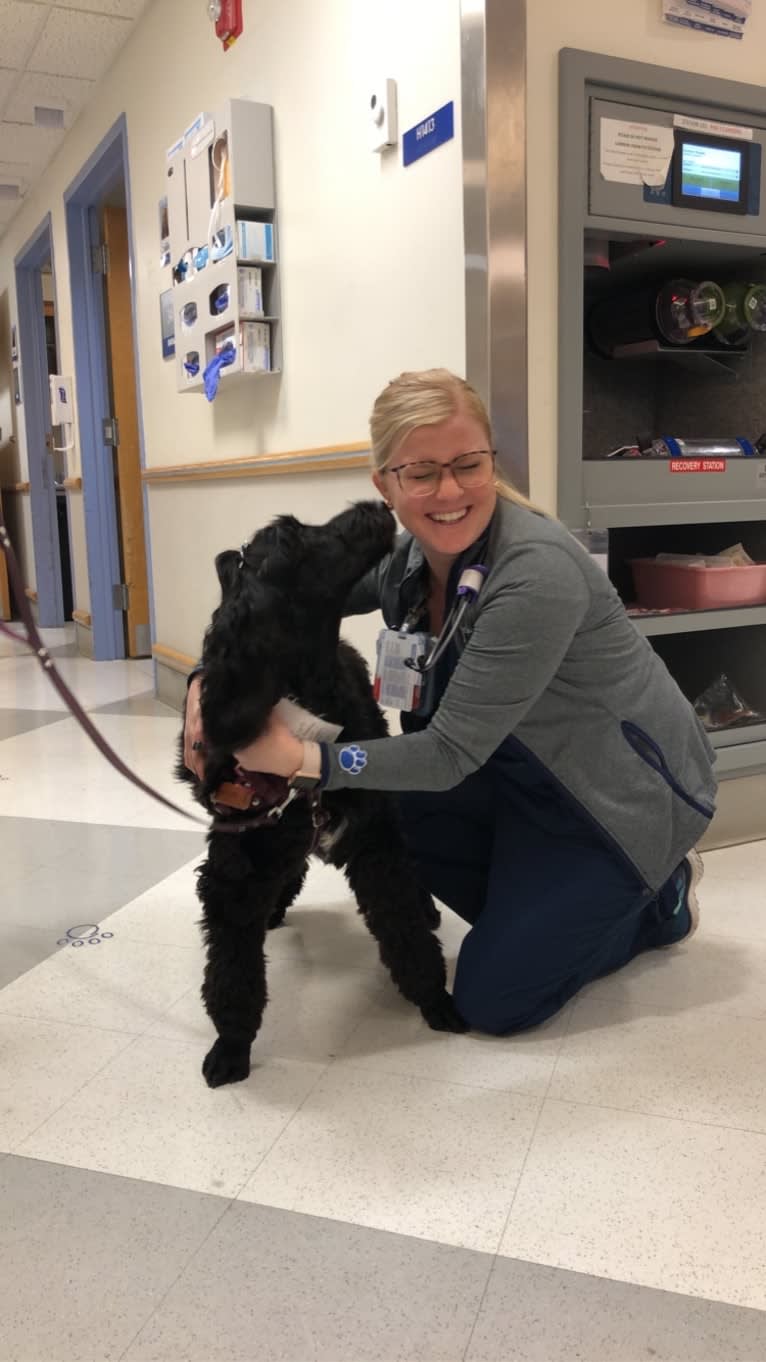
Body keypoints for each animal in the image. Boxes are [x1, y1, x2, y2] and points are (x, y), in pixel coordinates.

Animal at [178, 498, 466, 1084]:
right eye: (291, 538)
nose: (372, 504)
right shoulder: (234, 872)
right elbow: (232, 974)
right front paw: (232, 1046)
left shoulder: (376, 841)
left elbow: (405, 929)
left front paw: (433, 999)